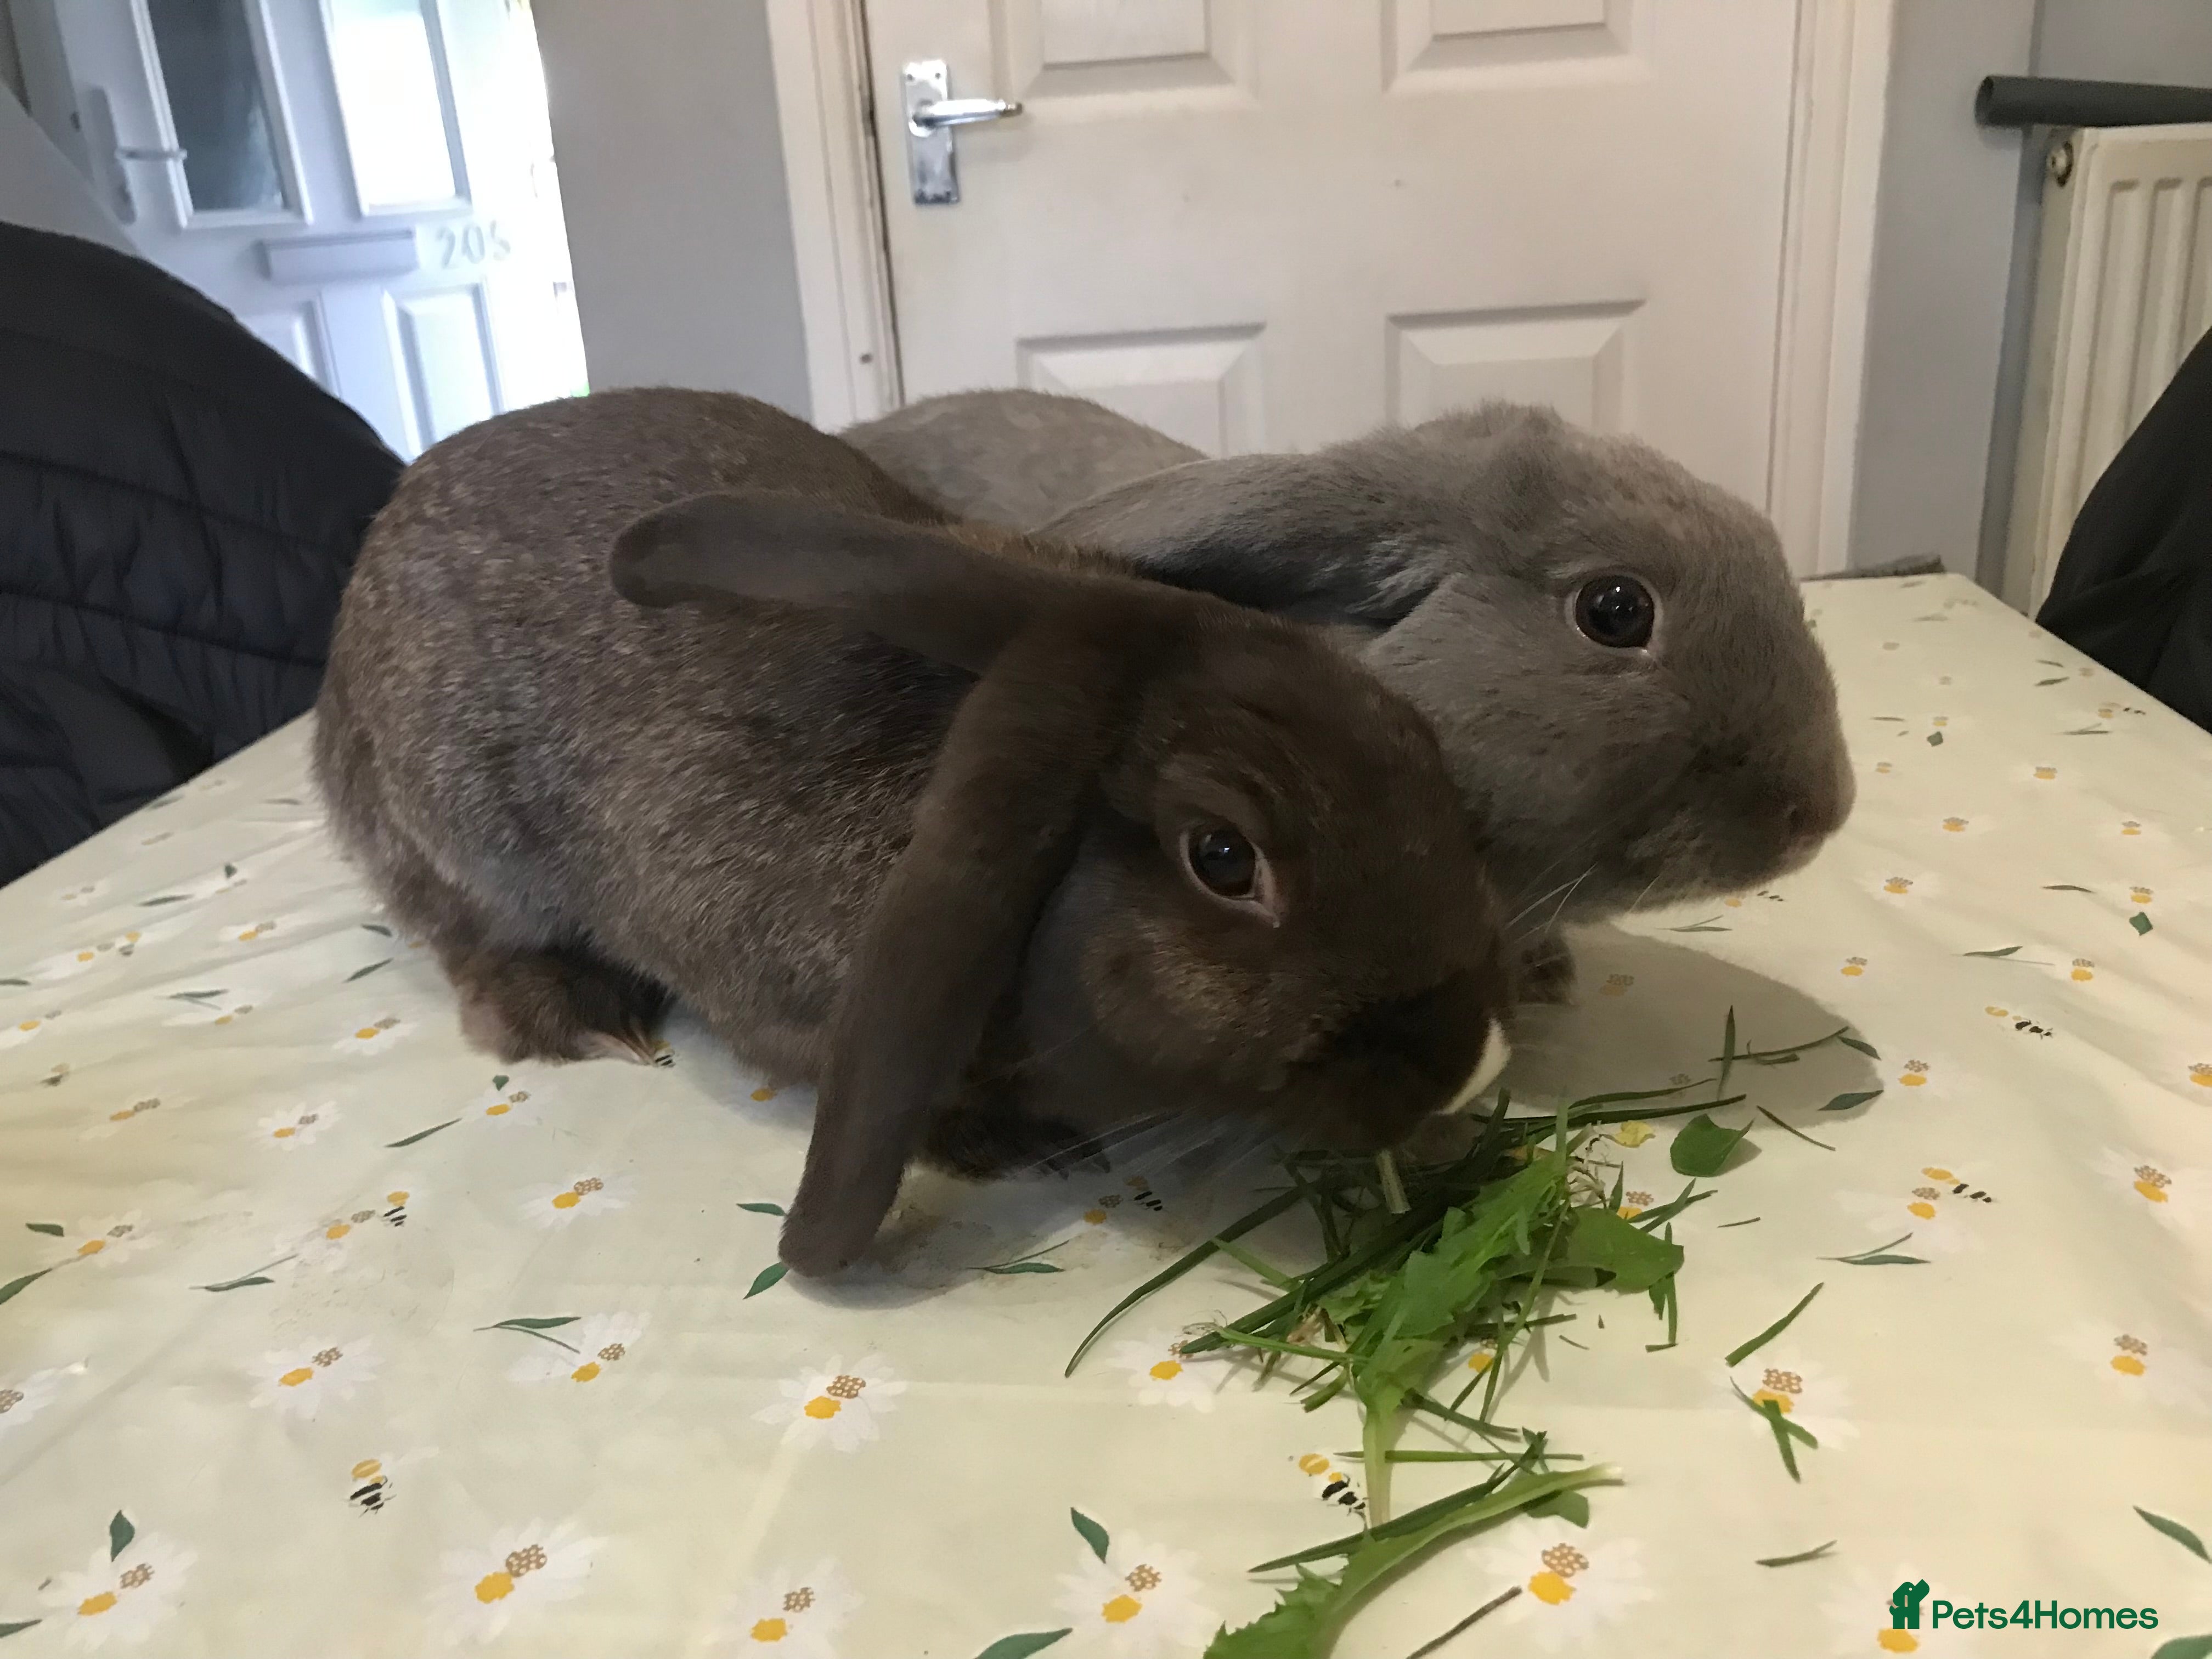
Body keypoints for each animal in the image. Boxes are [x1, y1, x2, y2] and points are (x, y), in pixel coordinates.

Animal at [314, 389, 1514, 1276]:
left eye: (1409, 732)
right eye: (1223, 858)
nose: (1463, 1065)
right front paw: (1019, 1148)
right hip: (459, 832)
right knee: (464, 931)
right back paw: (574, 1010)